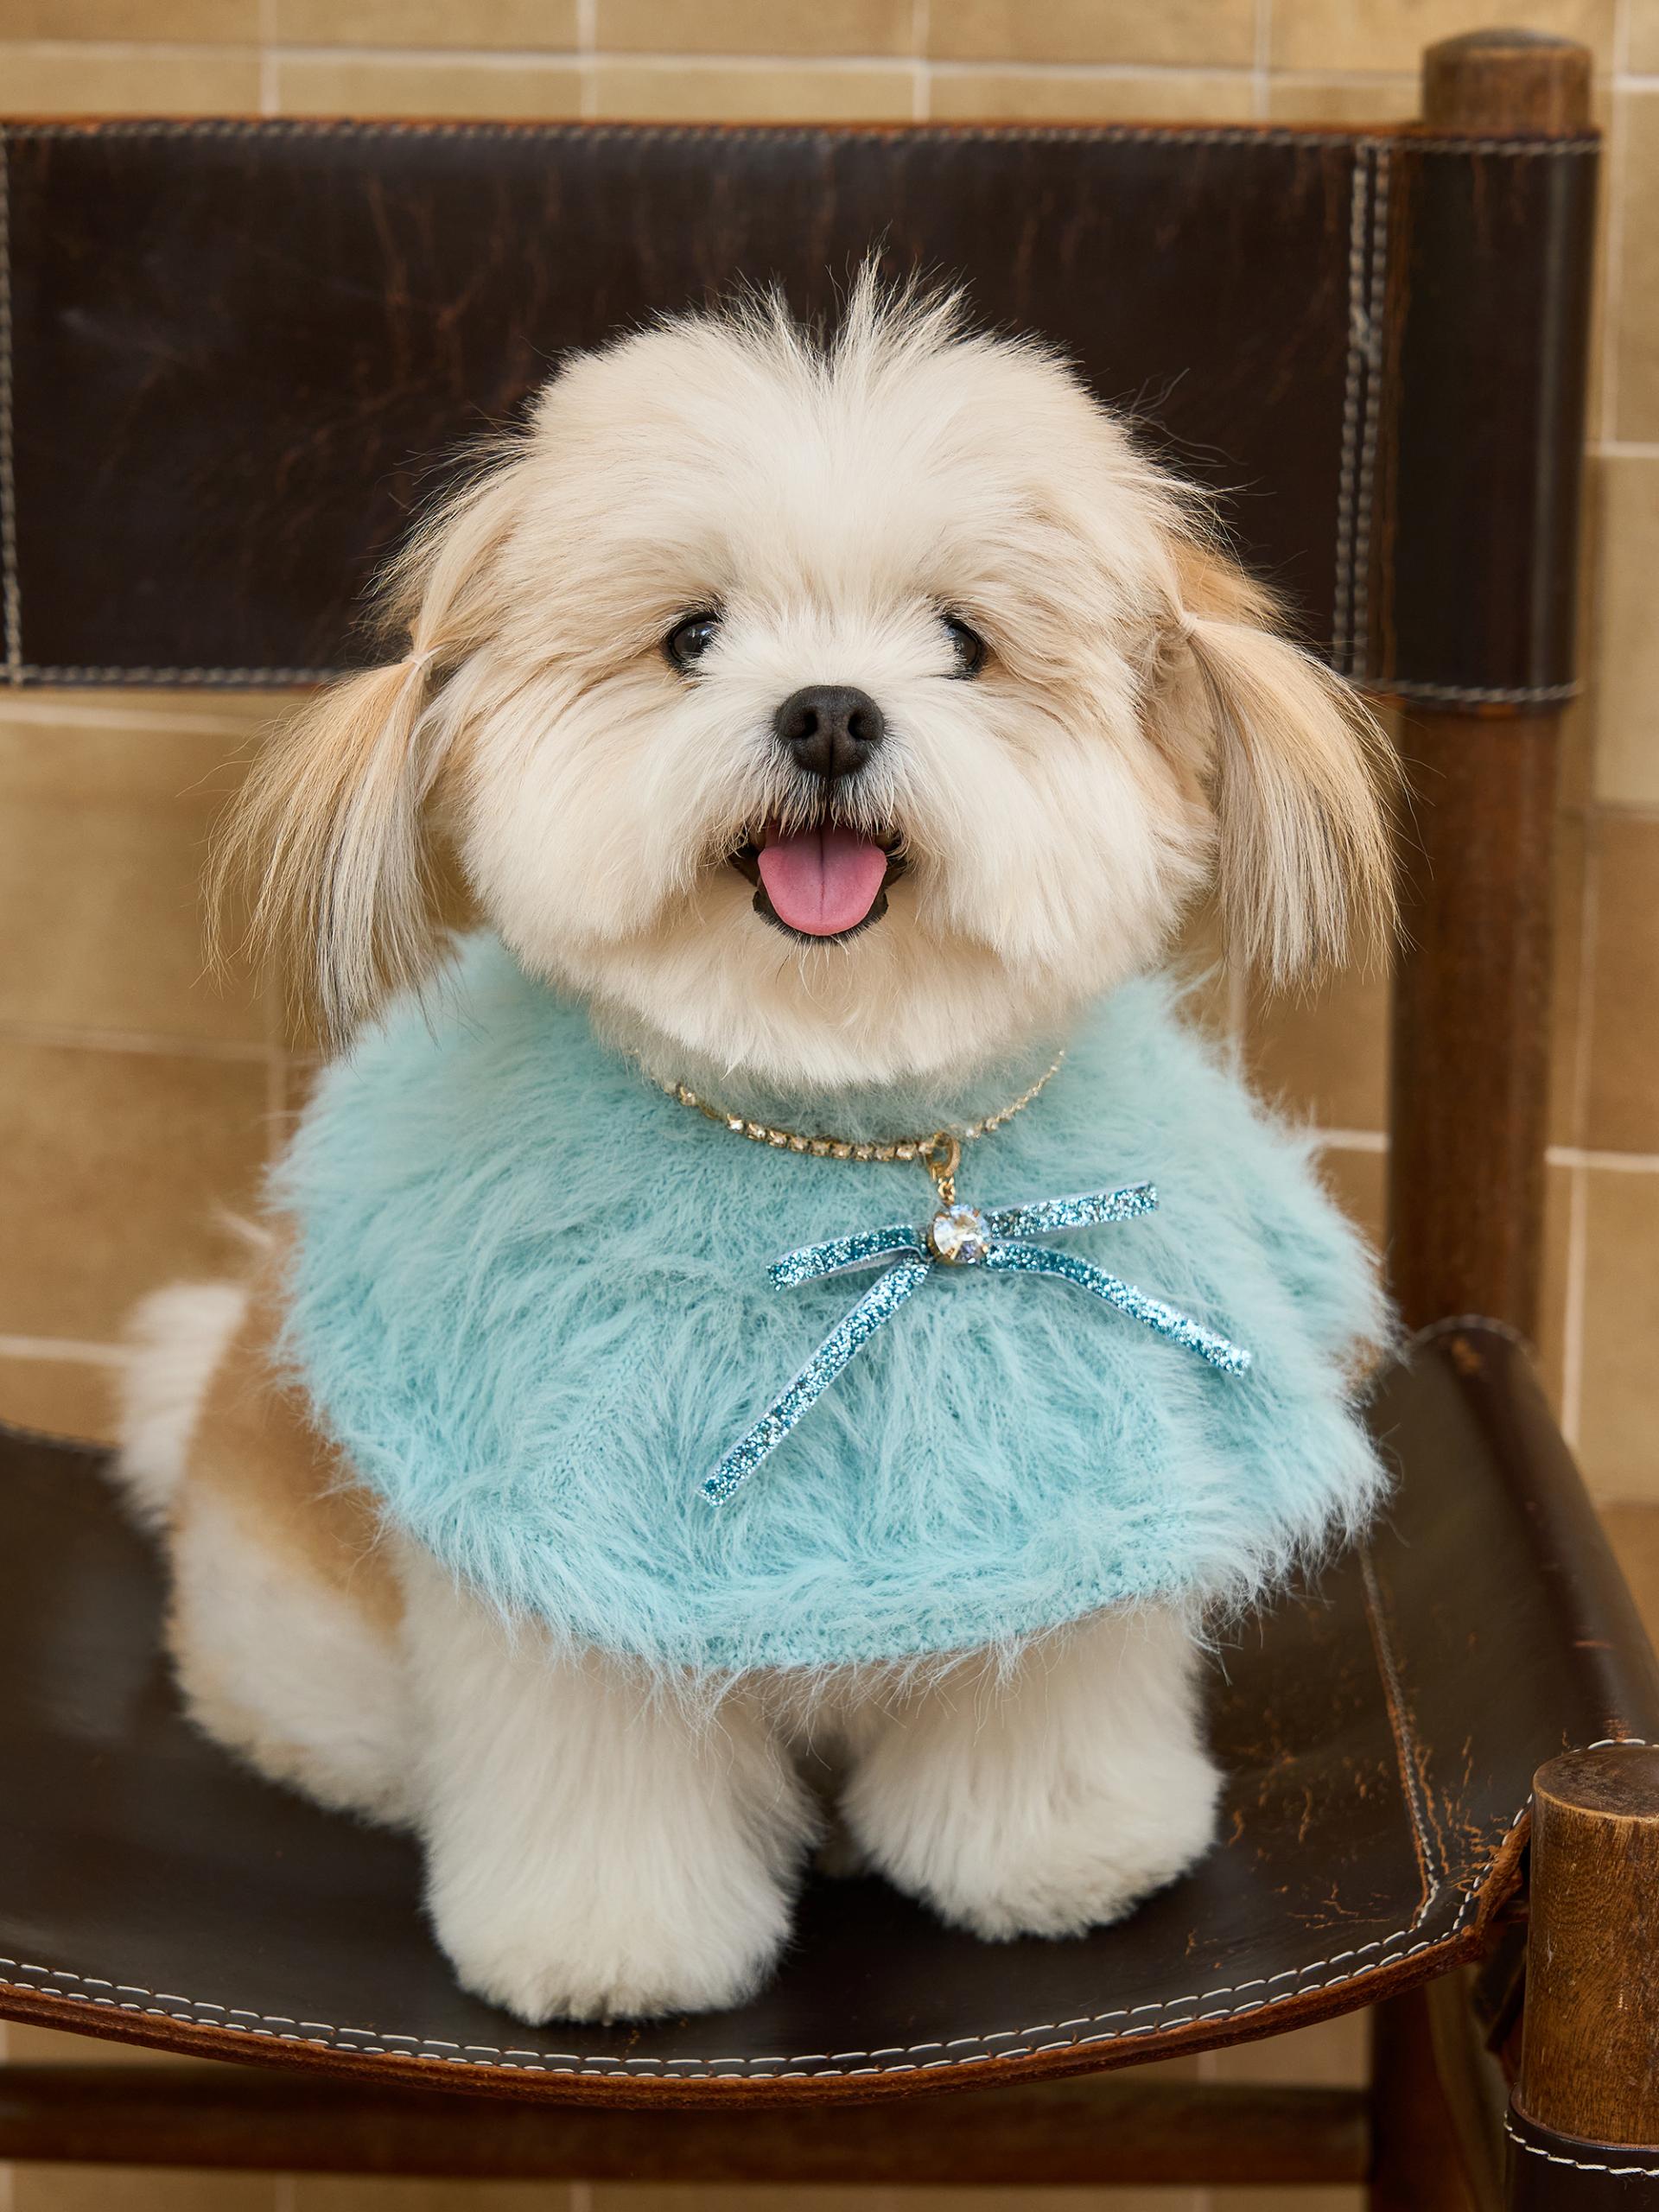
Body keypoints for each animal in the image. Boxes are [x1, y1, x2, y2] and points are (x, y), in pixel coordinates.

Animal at [116, 274, 1392, 2026]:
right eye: (693, 639)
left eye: (962, 643)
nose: (831, 710)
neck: (848, 1141)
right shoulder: (564, 1565)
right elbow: (602, 1776)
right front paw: (609, 1949)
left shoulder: (1077, 1506)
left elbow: (1040, 1691)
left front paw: (1059, 1854)